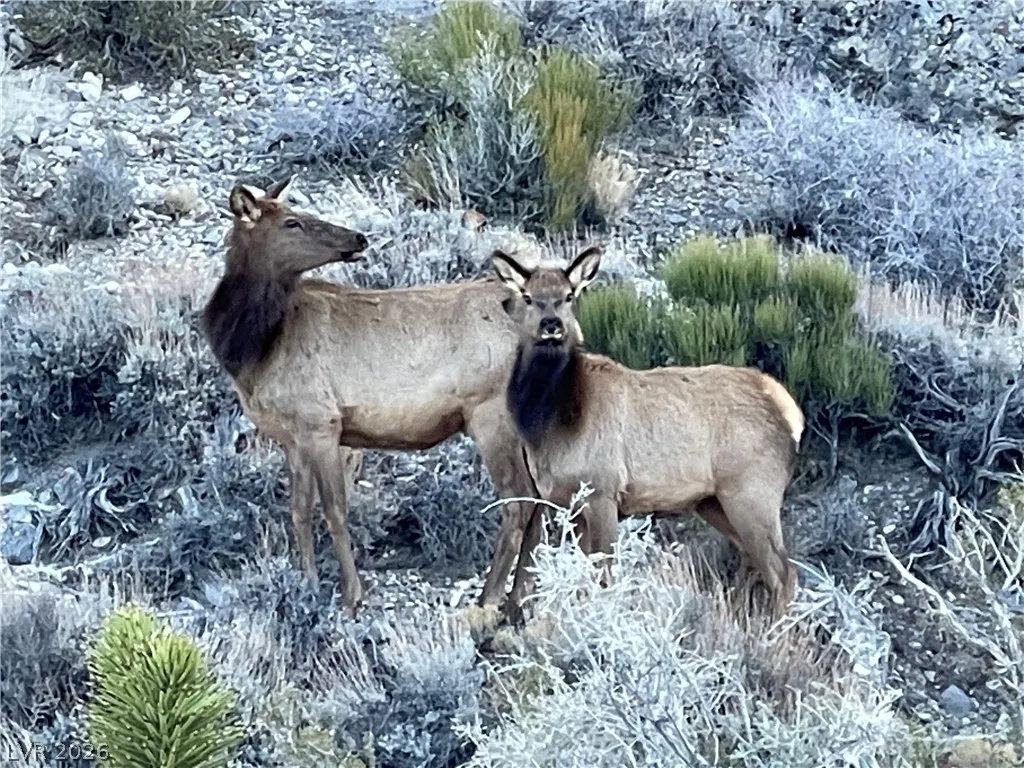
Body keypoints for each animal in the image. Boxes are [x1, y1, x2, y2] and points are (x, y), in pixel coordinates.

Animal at [200, 178, 540, 616]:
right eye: (293, 222)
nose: (358, 237)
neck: (256, 348)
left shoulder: (322, 423)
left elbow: (335, 511)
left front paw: (351, 595)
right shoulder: (292, 436)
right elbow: (298, 510)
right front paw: (307, 583)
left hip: (491, 414)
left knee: (519, 502)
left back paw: (489, 598)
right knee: (542, 502)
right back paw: (518, 599)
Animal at [491, 246, 804, 620]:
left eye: (569, 295)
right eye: (527, 296)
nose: (551, 325)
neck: (550, 426)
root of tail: (789, 410)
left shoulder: (603, 491)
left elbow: (603, 574)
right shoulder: (569, 503)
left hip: (753, 490)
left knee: (783, 572)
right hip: (715, 501)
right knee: (753, 562)